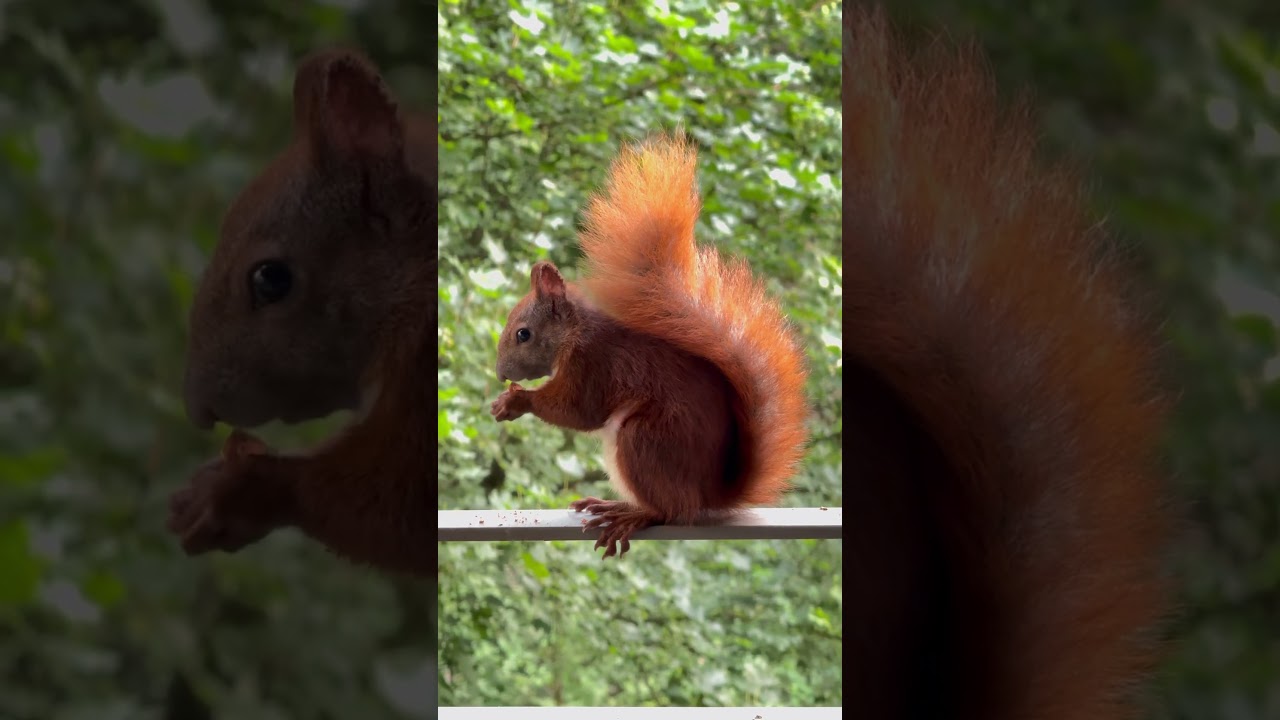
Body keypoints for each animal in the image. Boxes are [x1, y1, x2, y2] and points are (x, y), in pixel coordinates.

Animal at [489, 132, 811, 558]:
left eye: (523, 334)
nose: (501, 374)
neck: (575, 332)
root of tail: (710, 493)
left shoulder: (593, 364)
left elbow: (579, 411)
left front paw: (516, 401)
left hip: (644, 439)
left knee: (671, 510)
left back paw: (632, 513)